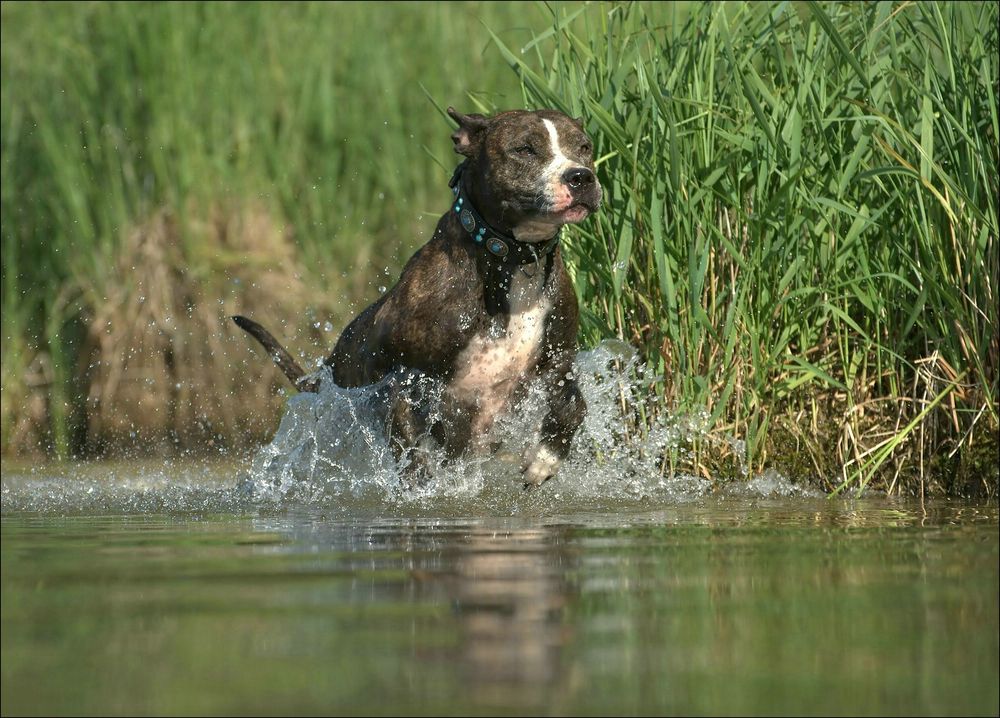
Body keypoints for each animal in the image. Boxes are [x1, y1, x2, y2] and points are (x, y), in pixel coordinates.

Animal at [236, 107, 600, 490]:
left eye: (584, 146)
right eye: (524, 149)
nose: (581, 177)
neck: (512, 260)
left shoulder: (558, 361)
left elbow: (574, 404)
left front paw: (545, 458)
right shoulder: (403, 380)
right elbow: (411, 449)